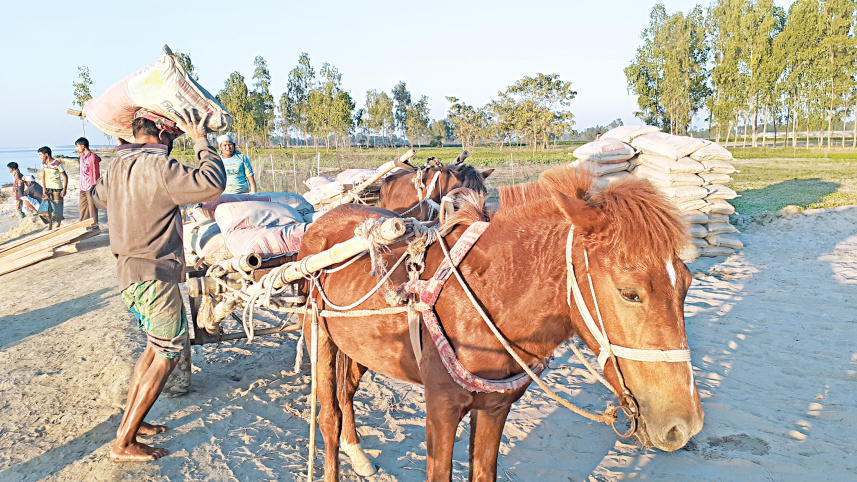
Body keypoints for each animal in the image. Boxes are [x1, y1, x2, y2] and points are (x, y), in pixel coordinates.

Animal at [297, 166, 704, 481]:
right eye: (630, 293)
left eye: (686, 284)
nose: (683, 425)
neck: (487, 298)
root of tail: (322, 221)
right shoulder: (441, 408)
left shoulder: (495, 408)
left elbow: (483, 471)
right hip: (321, 340)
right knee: (329, 417)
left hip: (358, 348)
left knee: (346, 393)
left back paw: (358, 455)